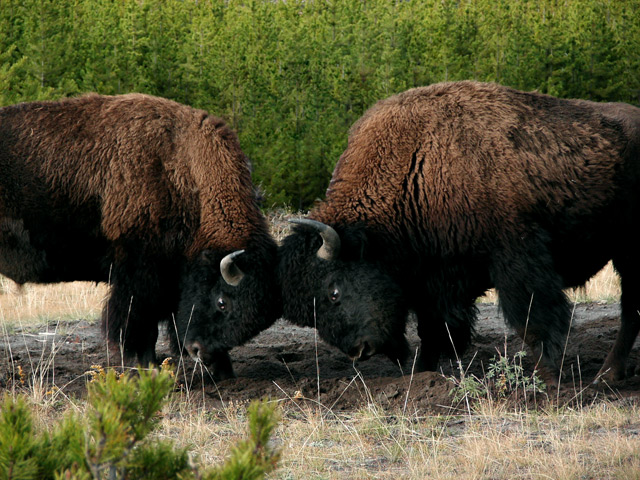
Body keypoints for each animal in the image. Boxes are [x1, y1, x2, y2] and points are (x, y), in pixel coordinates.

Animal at [0, 93, 280, 378]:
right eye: (222, 302)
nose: (201, 352)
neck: (184, 167)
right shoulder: (140, 275)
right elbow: (141, 325)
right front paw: (149, 367)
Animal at [278, 80, 640, 384]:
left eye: (333, 292)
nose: (360, 350)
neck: (415, 165)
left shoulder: (516, 259)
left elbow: (532, 319)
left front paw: (548, 378)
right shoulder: (432, 280)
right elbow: (434, 332)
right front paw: (420, 377)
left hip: (629, 252)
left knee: (629, 310)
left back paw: (606, 375)